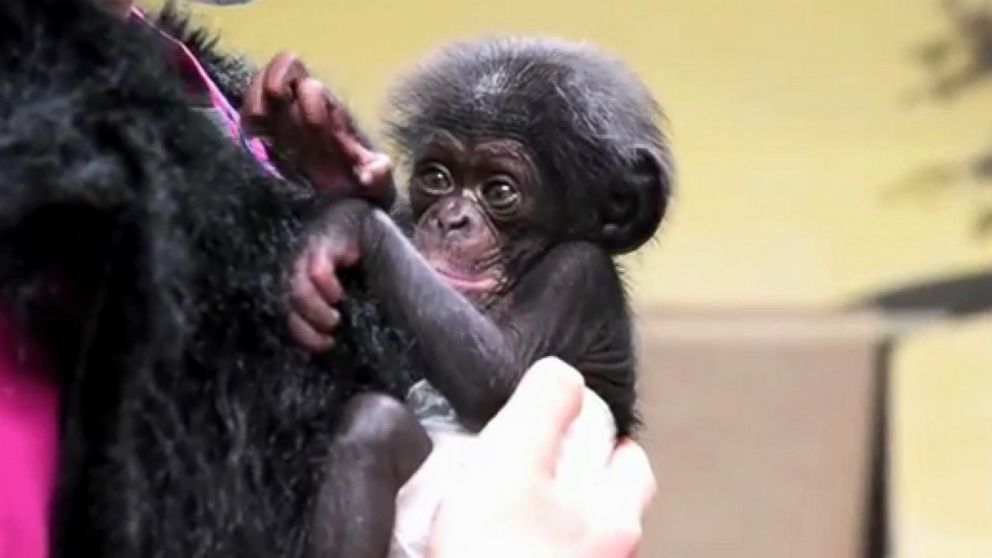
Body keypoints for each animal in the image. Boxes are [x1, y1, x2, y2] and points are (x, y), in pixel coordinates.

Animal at [262, 37, 676, 556]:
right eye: (437, 178)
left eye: (499, 190)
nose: (452, 219)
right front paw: (320, 145)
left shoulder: (579, 274)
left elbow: (498, 372)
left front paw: (349, 224)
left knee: (375, 428)